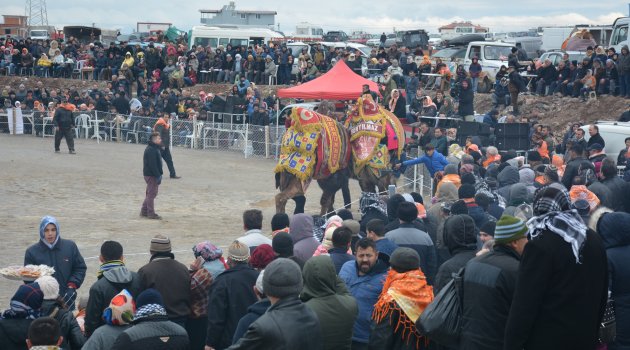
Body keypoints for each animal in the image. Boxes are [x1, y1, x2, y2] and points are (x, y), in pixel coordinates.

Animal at [276, 96, 404, 216]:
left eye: (308, 147)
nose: (287, 167)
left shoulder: (336, 178)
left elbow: (326, 200)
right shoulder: (328, 178)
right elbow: (328, 201)